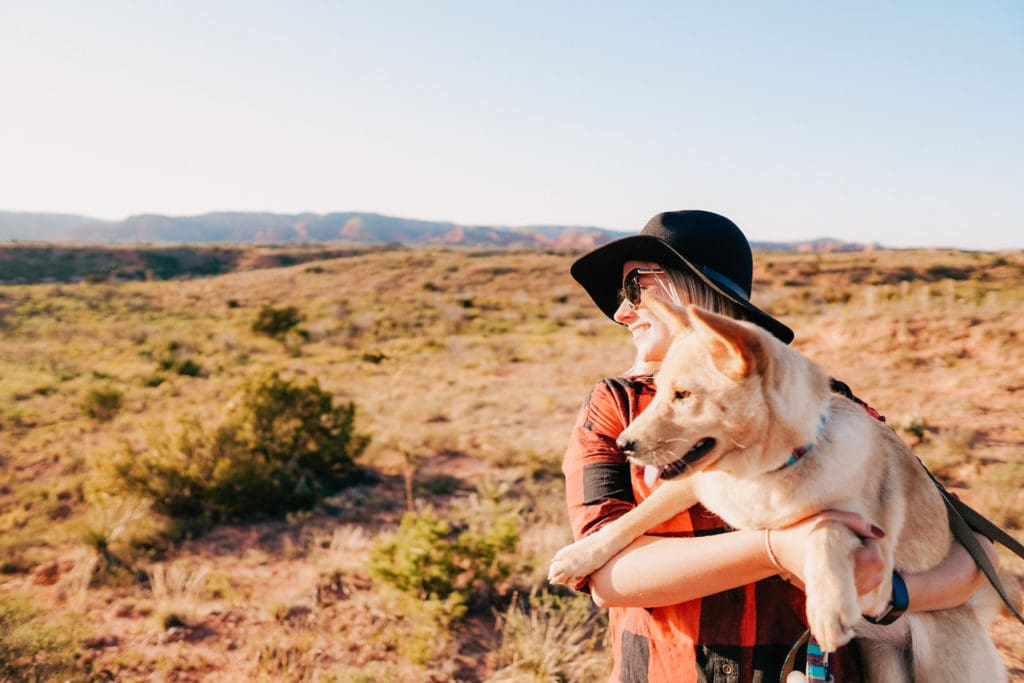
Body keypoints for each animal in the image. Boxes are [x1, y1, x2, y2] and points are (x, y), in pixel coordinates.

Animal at [548, 296, 1003, 679]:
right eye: (658, 391)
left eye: (683, 395)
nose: (623, 445)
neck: (758, 475)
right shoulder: (695, 483)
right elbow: (631, 520)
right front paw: (578, 556)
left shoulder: (868, 544)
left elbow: (824, 528)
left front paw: (826, 606)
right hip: (884, 663)